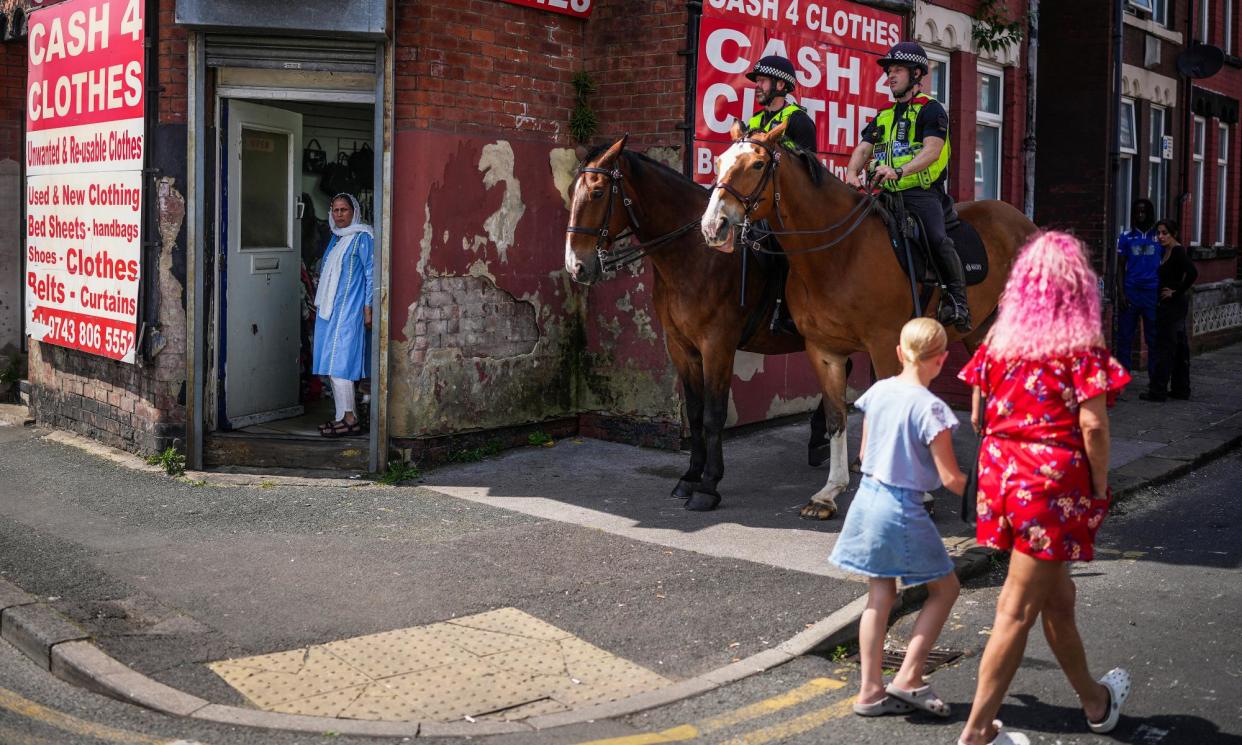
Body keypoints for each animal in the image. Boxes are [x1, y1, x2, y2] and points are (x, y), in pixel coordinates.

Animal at [568, 135, 829, 511]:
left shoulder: (716, 346)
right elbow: (693, 412)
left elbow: (713, 415)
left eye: (599, 192)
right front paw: (690, 476)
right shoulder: (680, 346)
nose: (576, 266)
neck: (695, 256)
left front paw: (708, 484)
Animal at [700, 122, 1038, 519]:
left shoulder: (884, 345)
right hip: (979, 331)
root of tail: (1022, 221)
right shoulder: (823, 351)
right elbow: (836, 418)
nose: (713, 226)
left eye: (756, 164)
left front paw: (915, 493)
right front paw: (829, 492)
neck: (838, 252)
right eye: (720, 161)